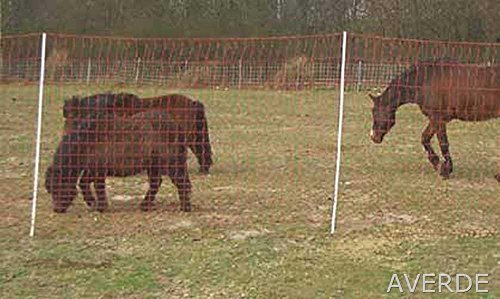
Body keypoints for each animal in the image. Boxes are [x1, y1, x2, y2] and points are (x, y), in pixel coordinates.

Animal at [44, 110, 192, 213]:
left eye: (58, 187)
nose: (57, 210)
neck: (87, 140)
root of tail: (176, 125)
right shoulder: (92, 170)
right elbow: (83, 183)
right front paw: (92, 203)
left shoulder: (99, 171)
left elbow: (98, 187)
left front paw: (101, 207)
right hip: (153, 166)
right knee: (156, 183)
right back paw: (145, 206)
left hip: (170, 164)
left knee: (181, 183)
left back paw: (185, 207)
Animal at [370, 59, 498, 179]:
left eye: (375, 112)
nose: (373, 137)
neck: (425, 80)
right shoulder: (434, 120)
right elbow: (425, 138)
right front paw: (440, 166)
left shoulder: (438, 119)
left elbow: (443, 143)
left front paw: (445, 170)